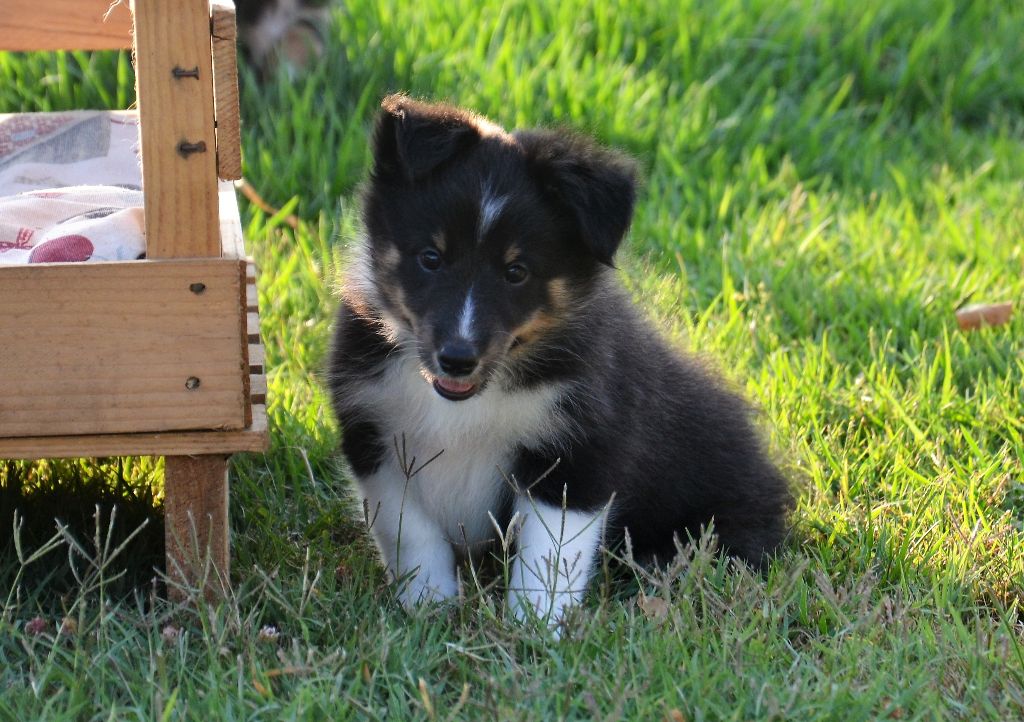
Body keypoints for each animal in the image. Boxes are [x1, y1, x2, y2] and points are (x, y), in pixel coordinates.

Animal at [328, 95, 793, 625]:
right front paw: (429, 604)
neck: (467, 403)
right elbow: (411, 532)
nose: (457, 359)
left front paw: (534, 625)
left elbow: (549, 551)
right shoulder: (375, 436)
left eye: (516, 272)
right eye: (430, 257)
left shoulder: (581, 447)